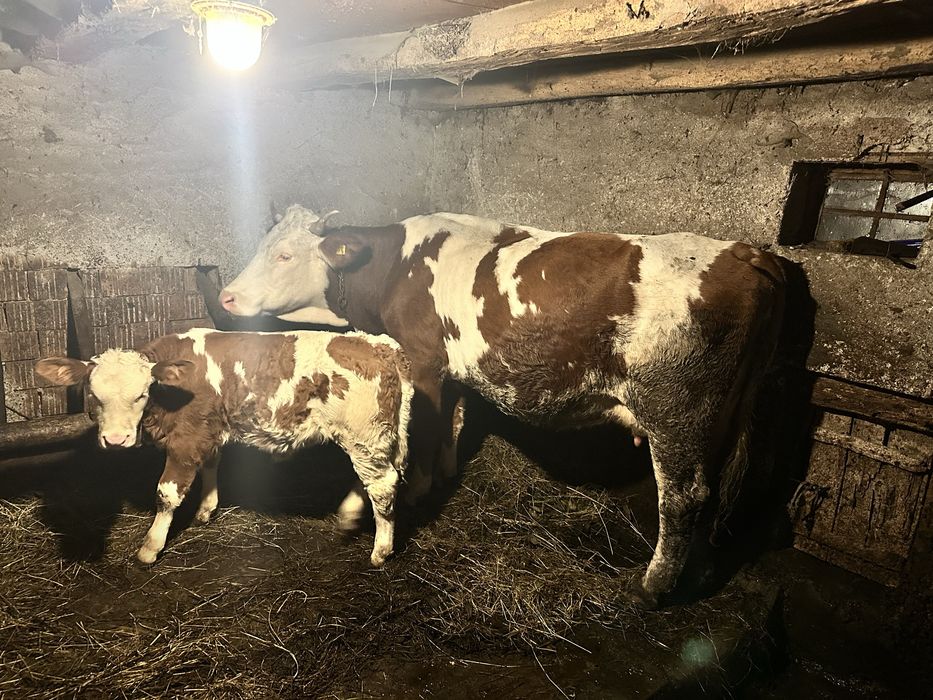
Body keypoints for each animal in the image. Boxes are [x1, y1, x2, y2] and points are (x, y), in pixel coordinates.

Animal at [35, 328, 414, 568]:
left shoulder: (187, 437)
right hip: (370, 438)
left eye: (142, 393)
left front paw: (150, 548)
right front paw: (206, 509)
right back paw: (348, 517)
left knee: (382, 486)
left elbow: (166, 494)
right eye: (93, 393)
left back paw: (380, 551)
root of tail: (381, 345)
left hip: (365, 434)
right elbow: (211, 465)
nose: (116, 440)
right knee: (371, 481)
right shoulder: (208, 430)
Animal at [219, 206, 786, 606]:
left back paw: (652, 586)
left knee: (684, 497)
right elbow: (452, 423)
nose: (226, 297)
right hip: (722, 417)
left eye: (285, 255)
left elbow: (421, 434)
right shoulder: (454, 372)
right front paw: (444, 475)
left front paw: (405, 493)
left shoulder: (422, 362)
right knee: (716, 491)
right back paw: (701, 573)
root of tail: (742, 251)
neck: (395, 268)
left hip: (675, 410)